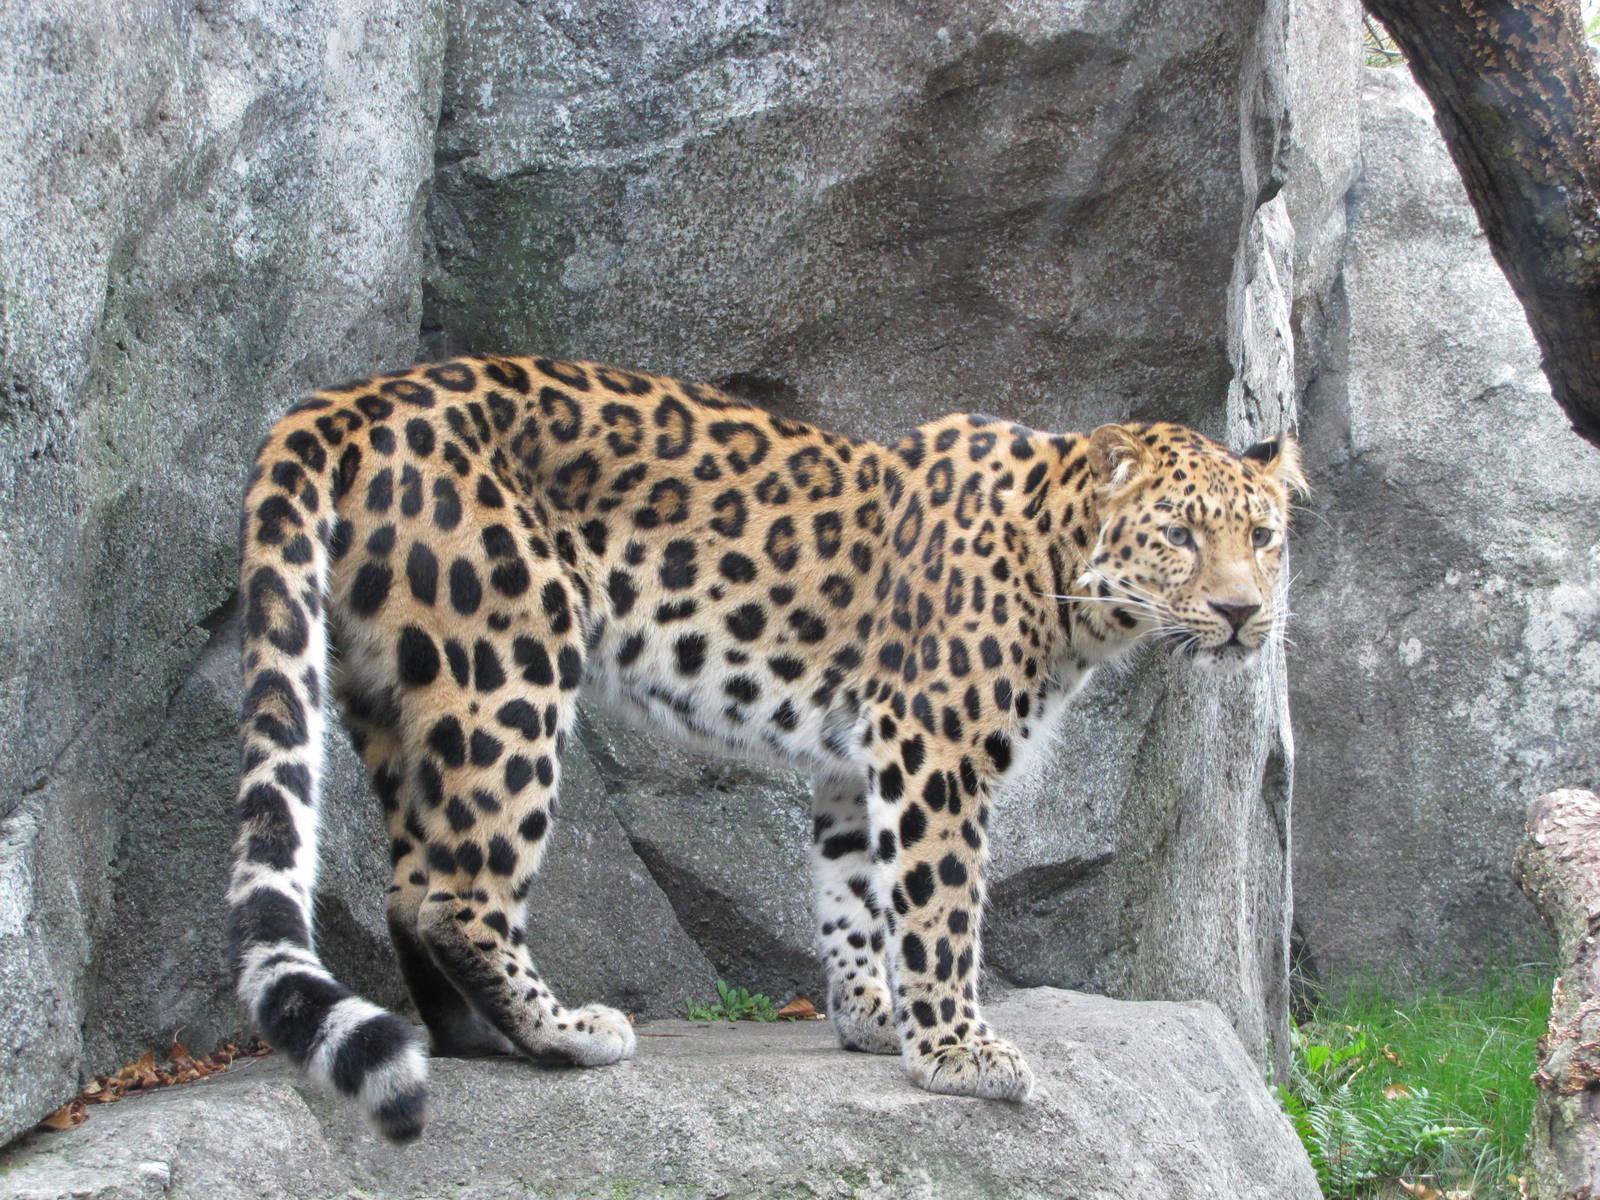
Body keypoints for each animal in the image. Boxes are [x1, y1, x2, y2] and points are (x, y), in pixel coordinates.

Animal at [225, 354, 1306, 1141]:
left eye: (1263, 537)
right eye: (1178, 535)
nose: (1241, 614)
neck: (1065, 574)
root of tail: (362, 396)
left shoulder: (857, 758)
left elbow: (855, 892)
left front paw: (873, 1017)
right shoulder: (935, 746)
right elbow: (941, 906)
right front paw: (958, 1052)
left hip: (395, 690)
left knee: (410, 883)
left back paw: (473, 1038)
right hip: (506, 667)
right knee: (458, 894)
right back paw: (564, 1034)